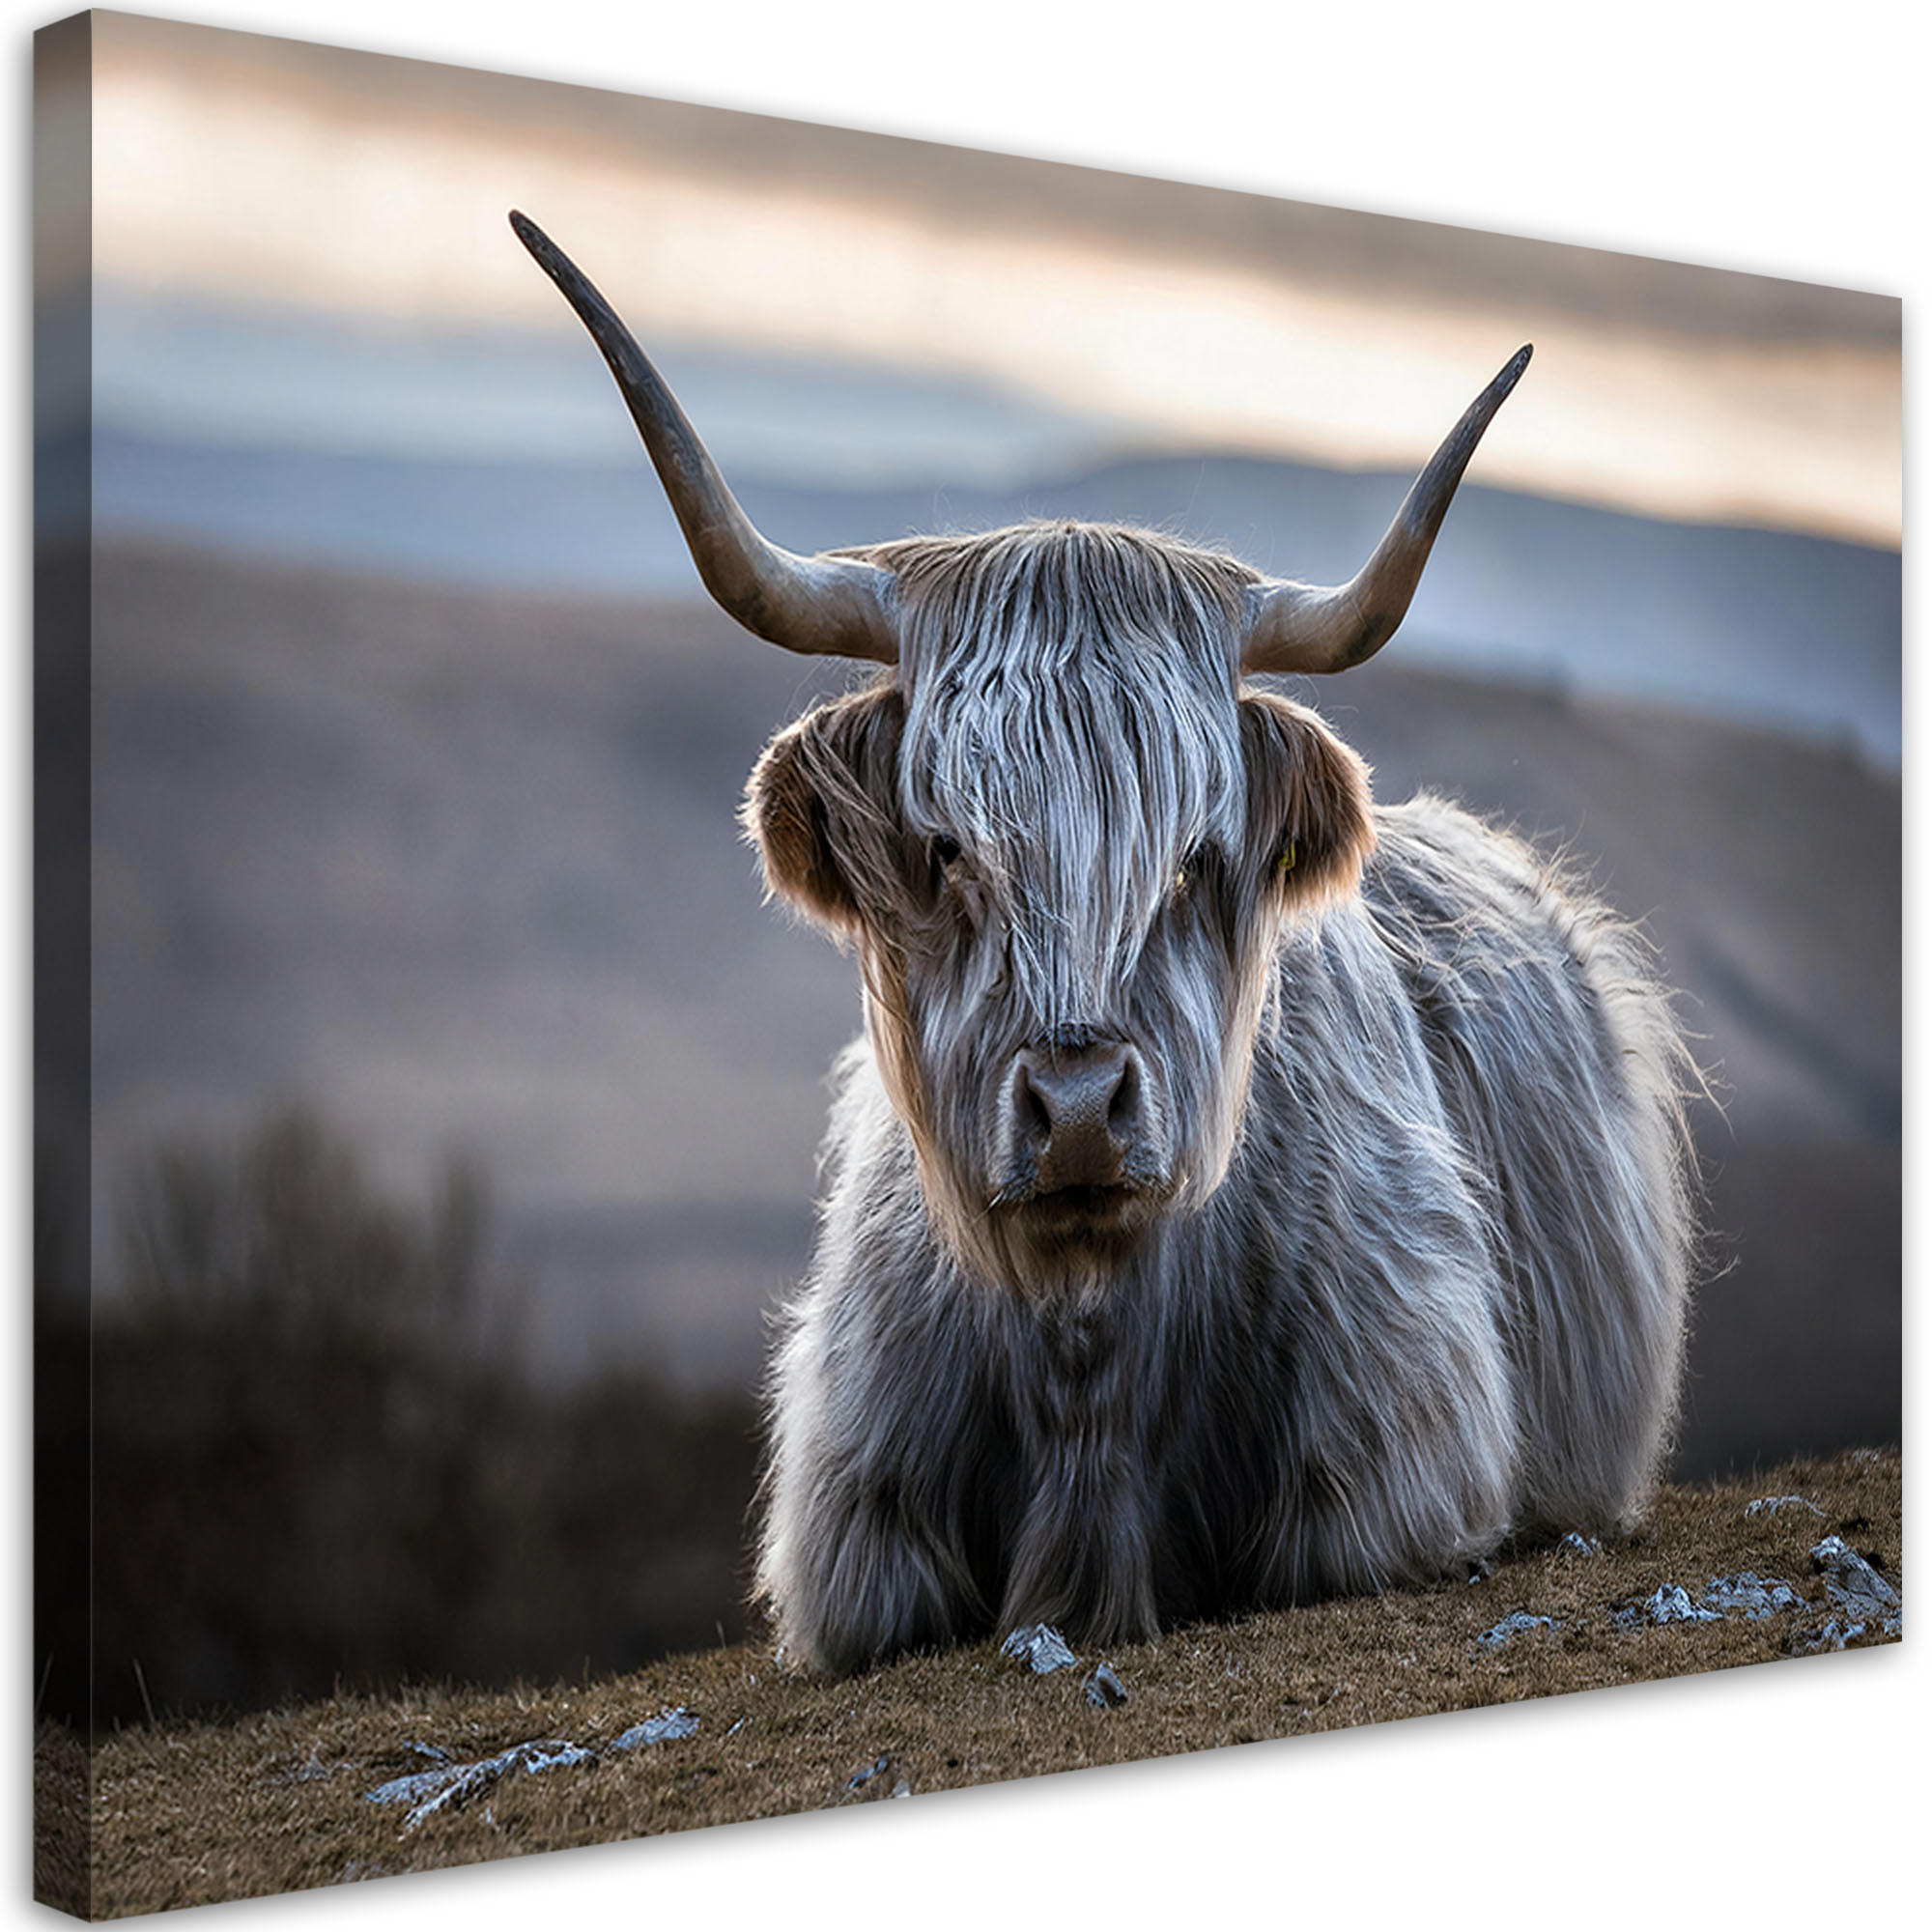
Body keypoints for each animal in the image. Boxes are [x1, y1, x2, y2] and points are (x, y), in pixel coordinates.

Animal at [511, 211, 1698, 1676]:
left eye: (1190, 855)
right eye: (949, 849)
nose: (1078, 1107)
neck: (1088, 1365)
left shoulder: (1394, 1475)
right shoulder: (855, 1534)